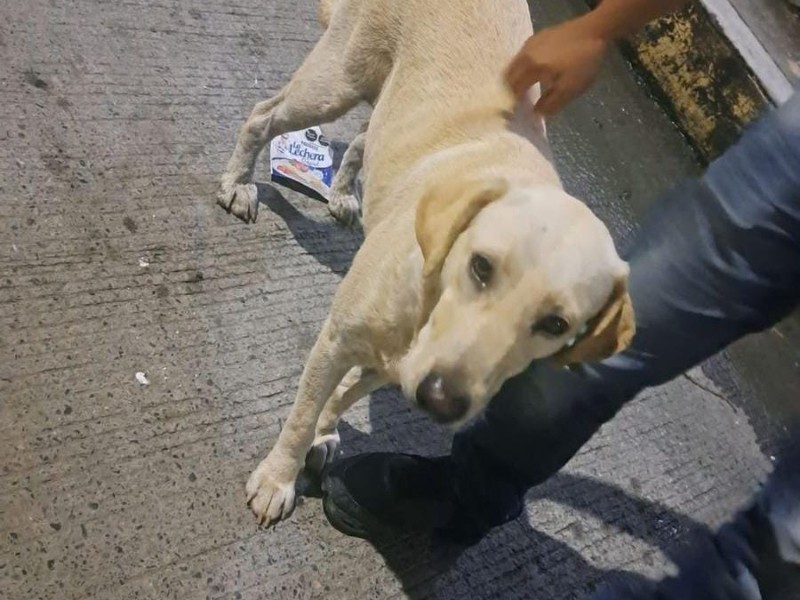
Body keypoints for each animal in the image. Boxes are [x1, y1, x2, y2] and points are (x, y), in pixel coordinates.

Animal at [217, 0, 632, 524]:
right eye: (481, 266)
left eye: (556, 325)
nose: (440, 401)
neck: (429, 297)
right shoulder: (336, 341)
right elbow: (302, 415)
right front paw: (278, 478)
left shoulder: (393, 368)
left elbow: (342, 396)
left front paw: (326, 431)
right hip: (335, 84)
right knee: (264, 115)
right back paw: (237, 182)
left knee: (362, 140)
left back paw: (342, 193)